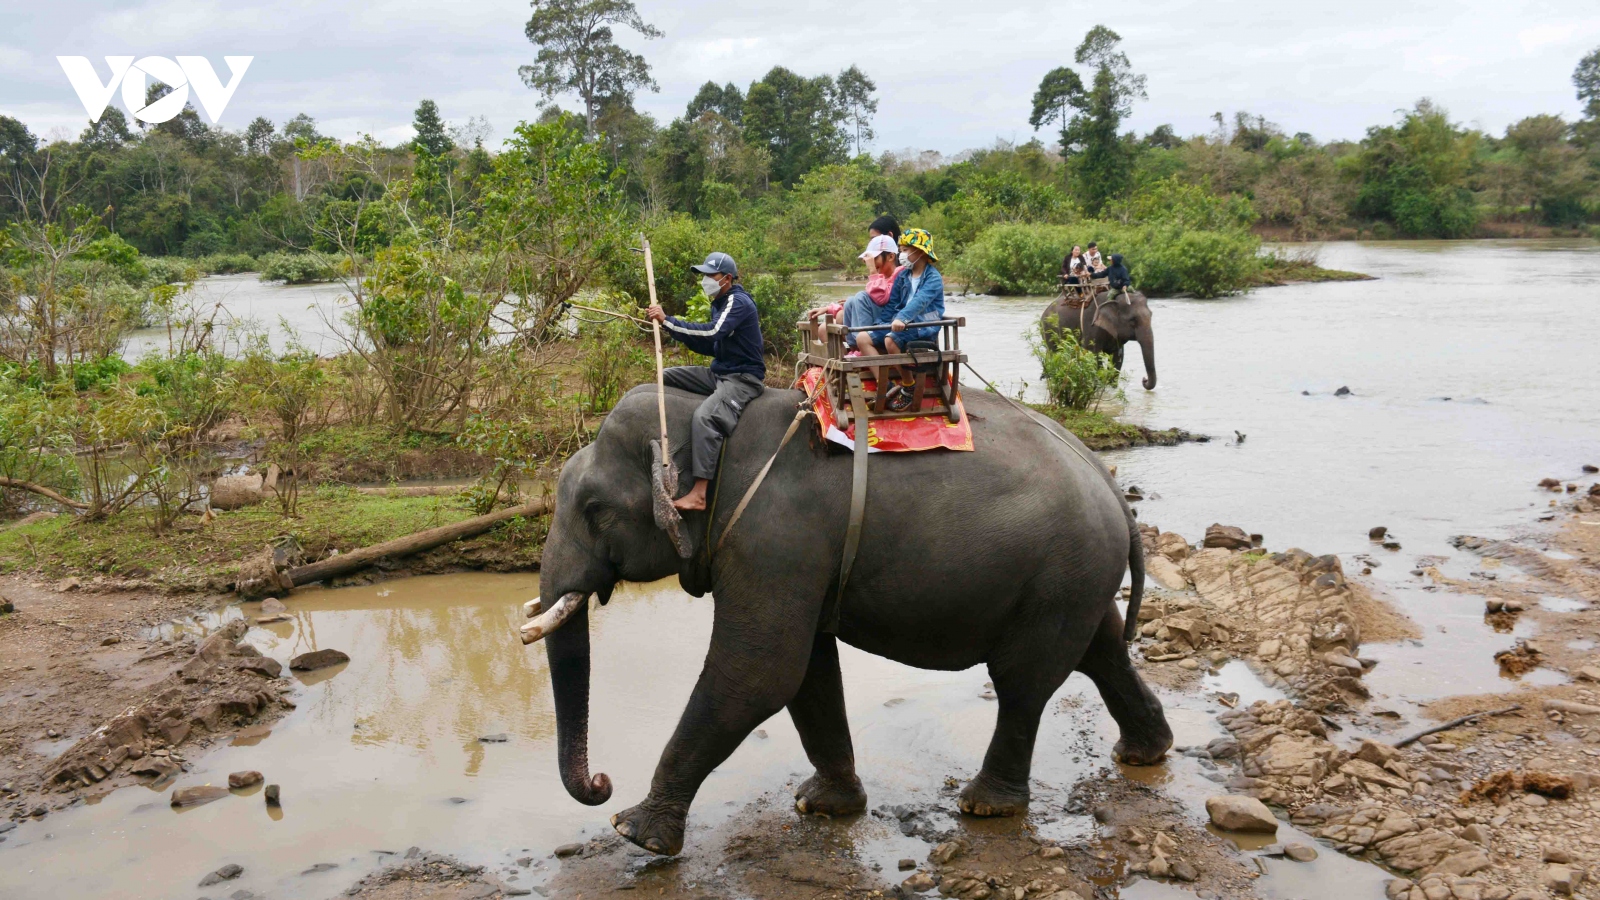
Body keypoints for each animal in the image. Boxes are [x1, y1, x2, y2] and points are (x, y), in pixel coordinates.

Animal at [531, 379, 1171, 851]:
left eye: (595, 510)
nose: (602, 782)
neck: (702, 416)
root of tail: (1111, 488)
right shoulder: (790, 557)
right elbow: (806, 672)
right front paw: (823, 805)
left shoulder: (773, 540)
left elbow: (759, 673)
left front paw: (634, 832)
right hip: (1075, 578)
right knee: (1102, 650)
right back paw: (1145, 751)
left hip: (1059, 574)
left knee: (1023, 682)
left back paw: (984, 805)